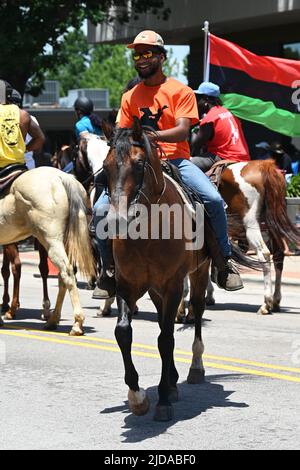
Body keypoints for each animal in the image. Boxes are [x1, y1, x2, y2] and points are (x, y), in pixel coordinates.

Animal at [0, 167, 95, 336]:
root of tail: (61, 177)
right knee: (63, 276)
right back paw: (52, 320)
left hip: (50, 240)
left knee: (66, 272)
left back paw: (77, 323)